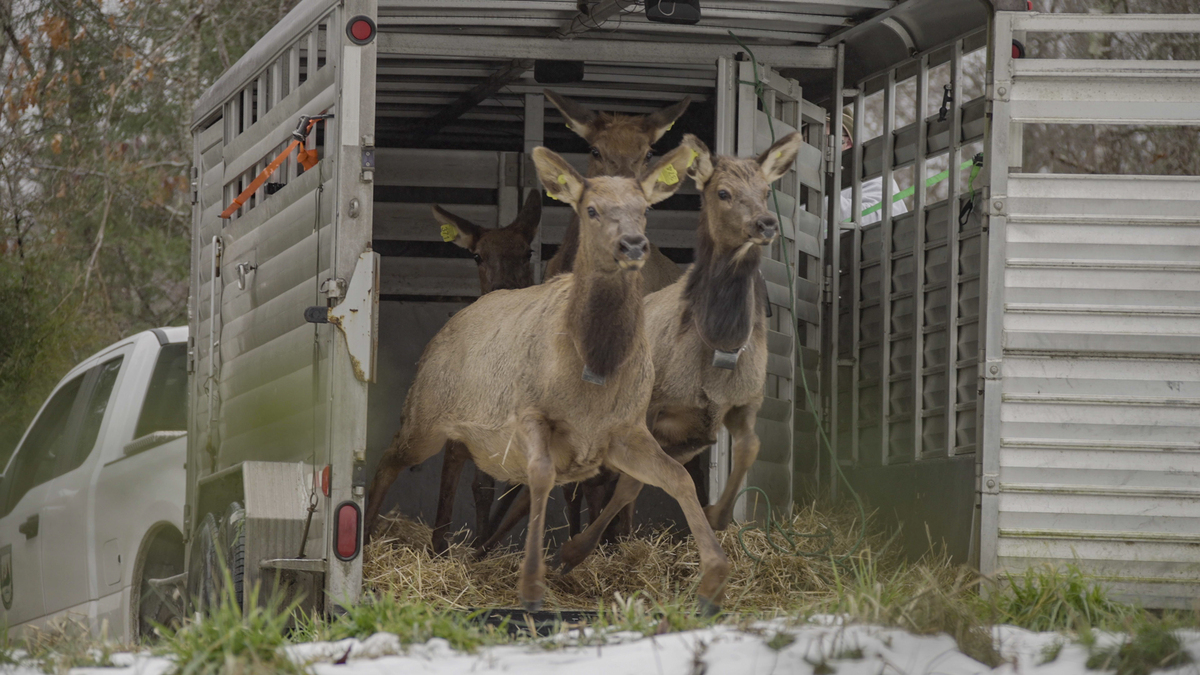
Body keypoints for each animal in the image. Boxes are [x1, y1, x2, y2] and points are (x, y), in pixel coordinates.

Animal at [429, 192, 542, 554]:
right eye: (477, 255)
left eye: (527, 251)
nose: (502, 290)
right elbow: (474, 484)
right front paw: (444, 547)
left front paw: (482, 546)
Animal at [554, 128, 806, 569]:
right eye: (722, 192)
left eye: (766, 190)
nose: (766, 222)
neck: (719, 346)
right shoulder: (652, 410)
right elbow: (631, 485)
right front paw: (576, 549)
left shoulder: (739, 406)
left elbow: (750, 448)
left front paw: (717, 515)